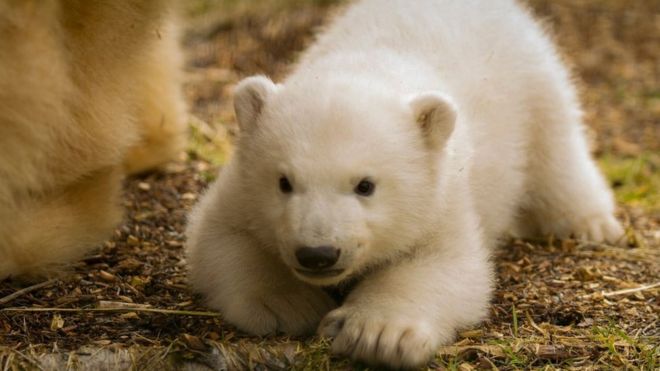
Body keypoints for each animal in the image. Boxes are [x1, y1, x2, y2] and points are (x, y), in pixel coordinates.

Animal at [187, 0, 624, 366]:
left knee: (557, 149)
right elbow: (218, 236)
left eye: (365, 185)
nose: (318, 254)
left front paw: (377, 332)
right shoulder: (241, 188)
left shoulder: (442, 194)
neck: (364, 69)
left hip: (533, 79)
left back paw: (592, 223)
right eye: (284, 182)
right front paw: (289, 304)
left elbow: (445, 264)